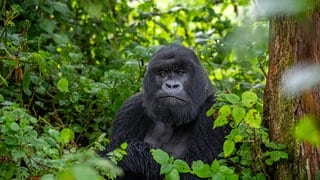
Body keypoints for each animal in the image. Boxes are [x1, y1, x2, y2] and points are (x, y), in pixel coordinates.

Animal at [105, 45, 230, 179]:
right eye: (163, 73)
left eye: (180, 72)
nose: (171, 85)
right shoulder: (129, 109)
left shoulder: (215, 108)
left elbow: (195, 172)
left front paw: (128, 154)